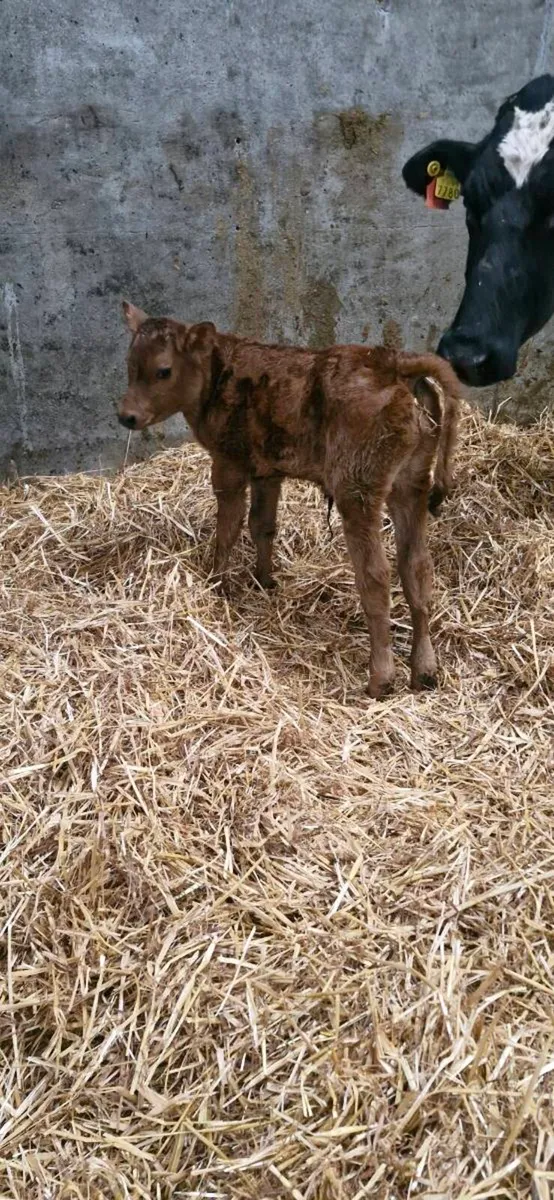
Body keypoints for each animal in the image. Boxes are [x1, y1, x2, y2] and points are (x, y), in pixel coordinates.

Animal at [118, 301, 461, 699]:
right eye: (130, 363)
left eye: (163, 370)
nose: (126, 416)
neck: (219, 373)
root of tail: (390, 362)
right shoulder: (268, 470)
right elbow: (262, 525)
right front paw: (264, 581)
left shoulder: (229, 462)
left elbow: (229, 528)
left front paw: (218, 584)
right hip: (412, 484)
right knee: (417, 568)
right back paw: (425, 671)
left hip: (357, 489)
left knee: (376, 576)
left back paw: (381, 679)